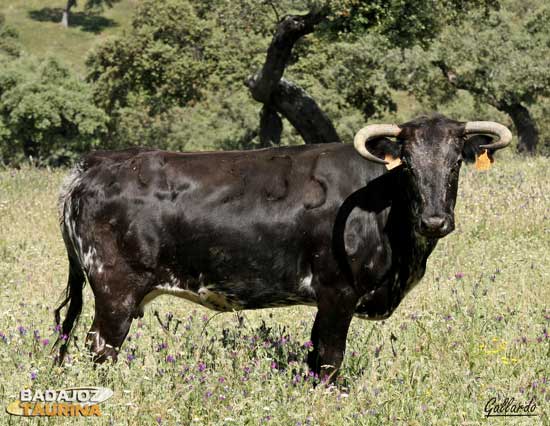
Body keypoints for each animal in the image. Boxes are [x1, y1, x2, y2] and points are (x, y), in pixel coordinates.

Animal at [54, 115, 512, 380]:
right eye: (410, 164)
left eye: (456, 162)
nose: (435, 221)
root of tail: (96, 163)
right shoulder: (337, 293)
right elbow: (329, 359)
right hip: (115, 291)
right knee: (100, 349)